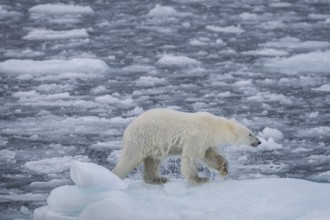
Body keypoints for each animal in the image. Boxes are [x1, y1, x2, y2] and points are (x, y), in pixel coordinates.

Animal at [113, 108, 260, 184]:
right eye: (250, 134)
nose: (259, 142)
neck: (213, 126)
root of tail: (128, 128)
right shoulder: (197, 136)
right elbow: (190, 157)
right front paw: (200, 179)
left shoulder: (207, 141)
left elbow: (210, 156)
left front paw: (224, 169)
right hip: (142, 138)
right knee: (129, 159)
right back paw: (115, 176)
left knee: (152, 160)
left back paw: (158, 179)